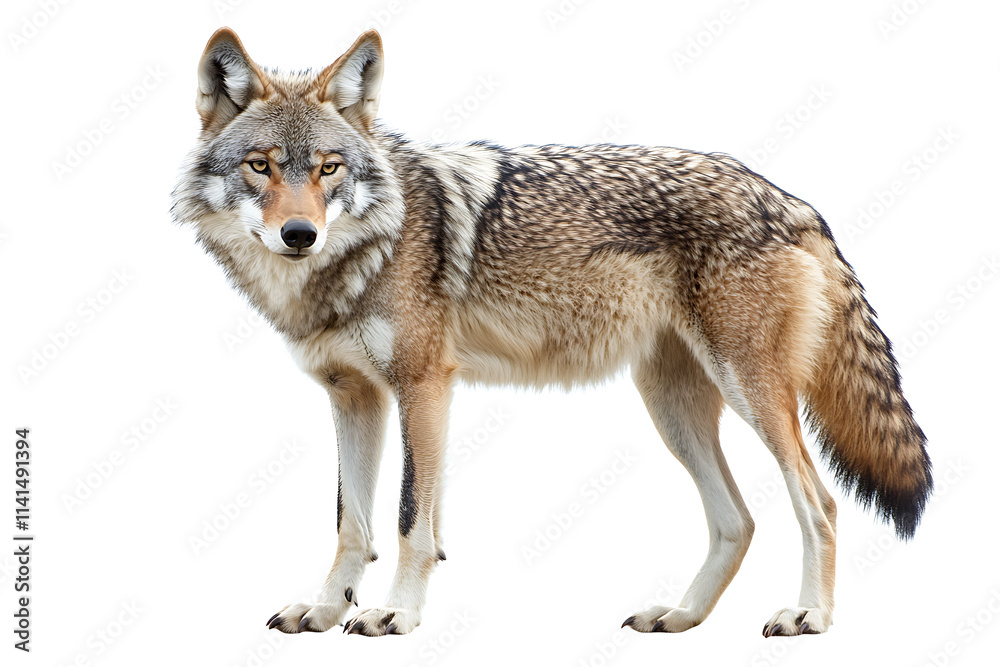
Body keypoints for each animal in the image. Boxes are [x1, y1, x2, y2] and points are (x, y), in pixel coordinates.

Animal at [171, 28, 932, 638]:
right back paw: (682, 616)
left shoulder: (424, 386)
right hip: (673, 407)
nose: (299, 234)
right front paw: (326, 610)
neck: (366, 252)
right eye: (262, 165)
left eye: (329, 168)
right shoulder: (354, 396)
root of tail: (792, 199)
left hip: (751, 395)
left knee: (820, 502)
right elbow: (350, 525)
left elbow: (413, 519)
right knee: (737, 520)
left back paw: (809, 615)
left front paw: (397, 613)